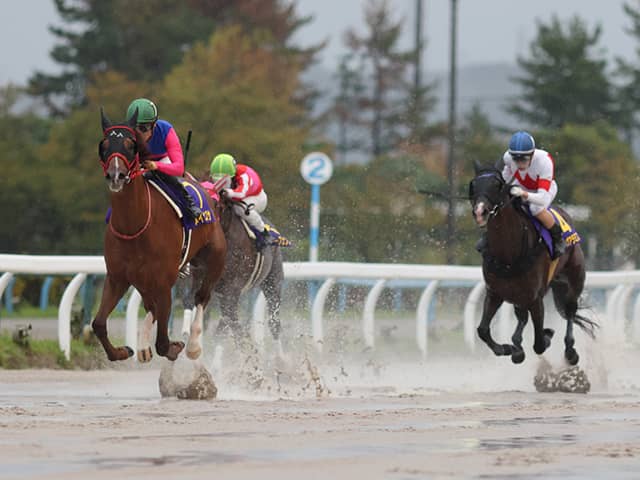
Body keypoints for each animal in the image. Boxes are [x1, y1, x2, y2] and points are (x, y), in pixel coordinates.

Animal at [94, 109, 226, 362]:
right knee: (151, 308)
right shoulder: (117, 278)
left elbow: (164, 343)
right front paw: (122, 350)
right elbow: (98, 324)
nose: (116, 175)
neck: (134, 226)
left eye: (131, 145)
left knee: (201, 297)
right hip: (143, 281)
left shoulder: (165, 282)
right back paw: (143, 347)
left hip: (214, 259)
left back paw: (193, 345)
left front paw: (178, 346)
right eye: (104, 145)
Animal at [464, 163, 596, 366]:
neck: (508, 255)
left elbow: (539, 343)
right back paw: (517, 345)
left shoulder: (535, 298)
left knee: (570, 311)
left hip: (573, 280)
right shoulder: (494, 293)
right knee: (522, 316)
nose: (480, 212)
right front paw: (508, 348)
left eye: (497, 185)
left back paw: (570, 351)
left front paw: (546, 335)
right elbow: (482, 330)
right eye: (473, 185)